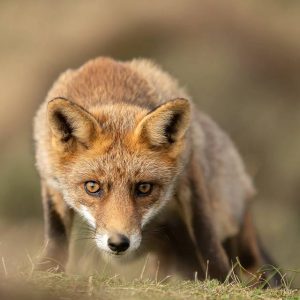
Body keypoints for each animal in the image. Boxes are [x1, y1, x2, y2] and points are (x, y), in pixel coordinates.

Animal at [34, 56, 278, 284]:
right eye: (92, 187)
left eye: (144, 188)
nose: (118, 244)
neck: (107, 86)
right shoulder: (49, 177)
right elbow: (56, 233)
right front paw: (47, 270)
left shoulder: (189, 169)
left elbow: (205, 233)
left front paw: (223, 279)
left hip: (231, 221)